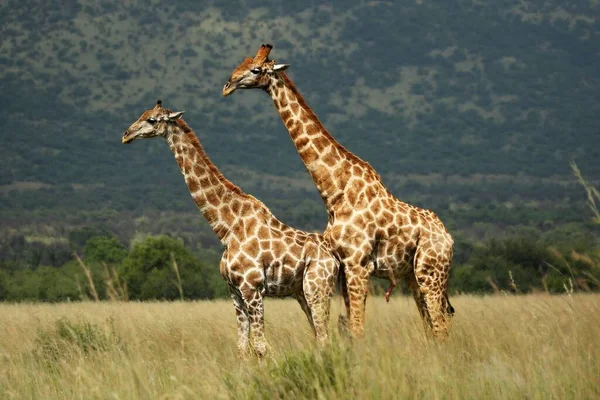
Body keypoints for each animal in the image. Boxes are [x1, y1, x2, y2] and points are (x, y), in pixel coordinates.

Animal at [123, 101, 338, 356]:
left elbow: (261, 347)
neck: (226, 228)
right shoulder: (234, 291)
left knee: (325, 338)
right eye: (142, 114)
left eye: (152, 120)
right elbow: (242, 347)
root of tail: (334, 258)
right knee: (319, 336)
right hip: (301, 292)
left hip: (317, 287)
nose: (126, 135)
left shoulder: (252, 288)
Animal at [224, 44, 454, 338]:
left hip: (431, 270)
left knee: (440, 324)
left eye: (255, 69)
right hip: (414, 275)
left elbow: (356, 327)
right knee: (432, 324)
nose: (227, 86)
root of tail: (448, 238)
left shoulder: (358, 263)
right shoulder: (344, 265)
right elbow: (349, 325)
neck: (335, 192)